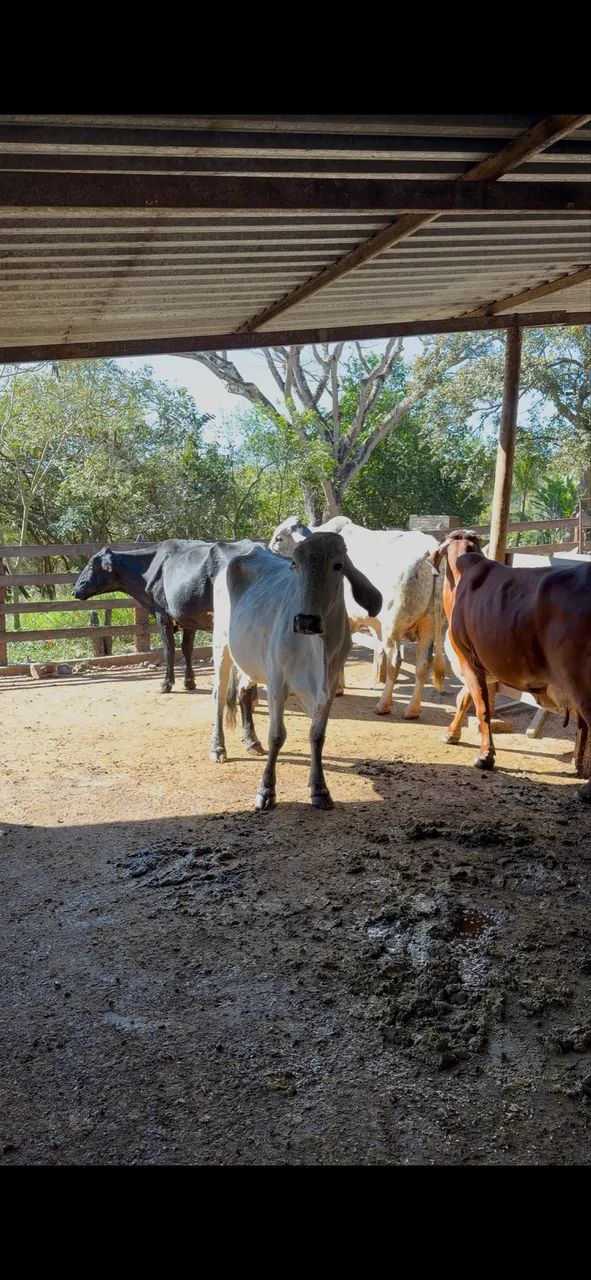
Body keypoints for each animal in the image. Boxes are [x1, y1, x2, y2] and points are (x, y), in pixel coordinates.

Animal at [72, 539, 264, 755]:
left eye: (91, 565)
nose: (75, 590)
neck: (149, 567)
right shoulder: (188, 618)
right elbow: (187, 649)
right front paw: (189, 681)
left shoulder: (162, 615)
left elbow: (169, 650)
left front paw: (166, 683)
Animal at [210, 532, 382, 810]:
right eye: (295, 565)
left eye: (338, 565)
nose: (306, 621)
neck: (317, 647)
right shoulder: (277, 682)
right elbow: (277, 735)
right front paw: (266, 790)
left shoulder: (329, 686)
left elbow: (317, 736)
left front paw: (320, 789)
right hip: (221, 645)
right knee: (218, 695)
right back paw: (218, 748)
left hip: (252, 660)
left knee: (244, 692)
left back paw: (251, 741)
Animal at [269, 515, 445, 720]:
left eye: (279, 538)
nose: (269, 550)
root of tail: (430, 548)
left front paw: (336, 687)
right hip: (429, 625)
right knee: (423, 663)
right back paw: (412, 709)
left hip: (392, 627)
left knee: (395, 661)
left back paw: (383, 704)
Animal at [428, 529, 591, 802]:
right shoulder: (483, 664)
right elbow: (465, 698)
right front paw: (452, 734)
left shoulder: (467, 658)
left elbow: (482, 707)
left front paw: (485, 757)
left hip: (580, 684)